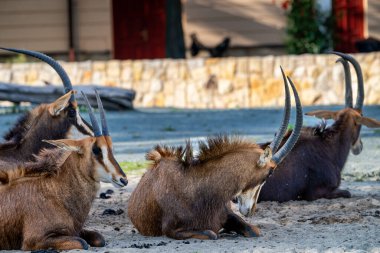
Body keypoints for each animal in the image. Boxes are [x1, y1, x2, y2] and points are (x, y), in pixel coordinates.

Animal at [0, 91, 127, 251]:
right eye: (96, 149)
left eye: (111, 148)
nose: (123, 179)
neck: (54, 190)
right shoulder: (33, 240)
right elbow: (82, 243)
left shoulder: (75, 230)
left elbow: (99, 238)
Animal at [127, 68, 302, 240]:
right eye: (269, 173)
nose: (251, 210)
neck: (196, 185)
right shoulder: (172, 230)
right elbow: (212, 234)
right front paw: (221, 232)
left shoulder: (228, 214)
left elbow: (254, 231)